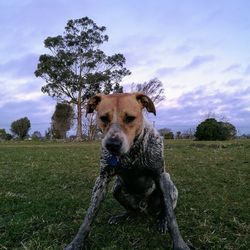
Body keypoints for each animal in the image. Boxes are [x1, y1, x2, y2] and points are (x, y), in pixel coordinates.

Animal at [64, 92, 189, 250]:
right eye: (104, 118)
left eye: (130, 118)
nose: (112, 144)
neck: (131, 153)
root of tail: (143, 207)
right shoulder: (102, 180)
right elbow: (88, 217)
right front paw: (76, 242)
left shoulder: (161, 176)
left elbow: (172, 218)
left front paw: (179, 243)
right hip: (117, 189)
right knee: (132, 210)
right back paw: (124, 216)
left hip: (171, 188)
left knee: (165, 210)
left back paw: (162, 220)